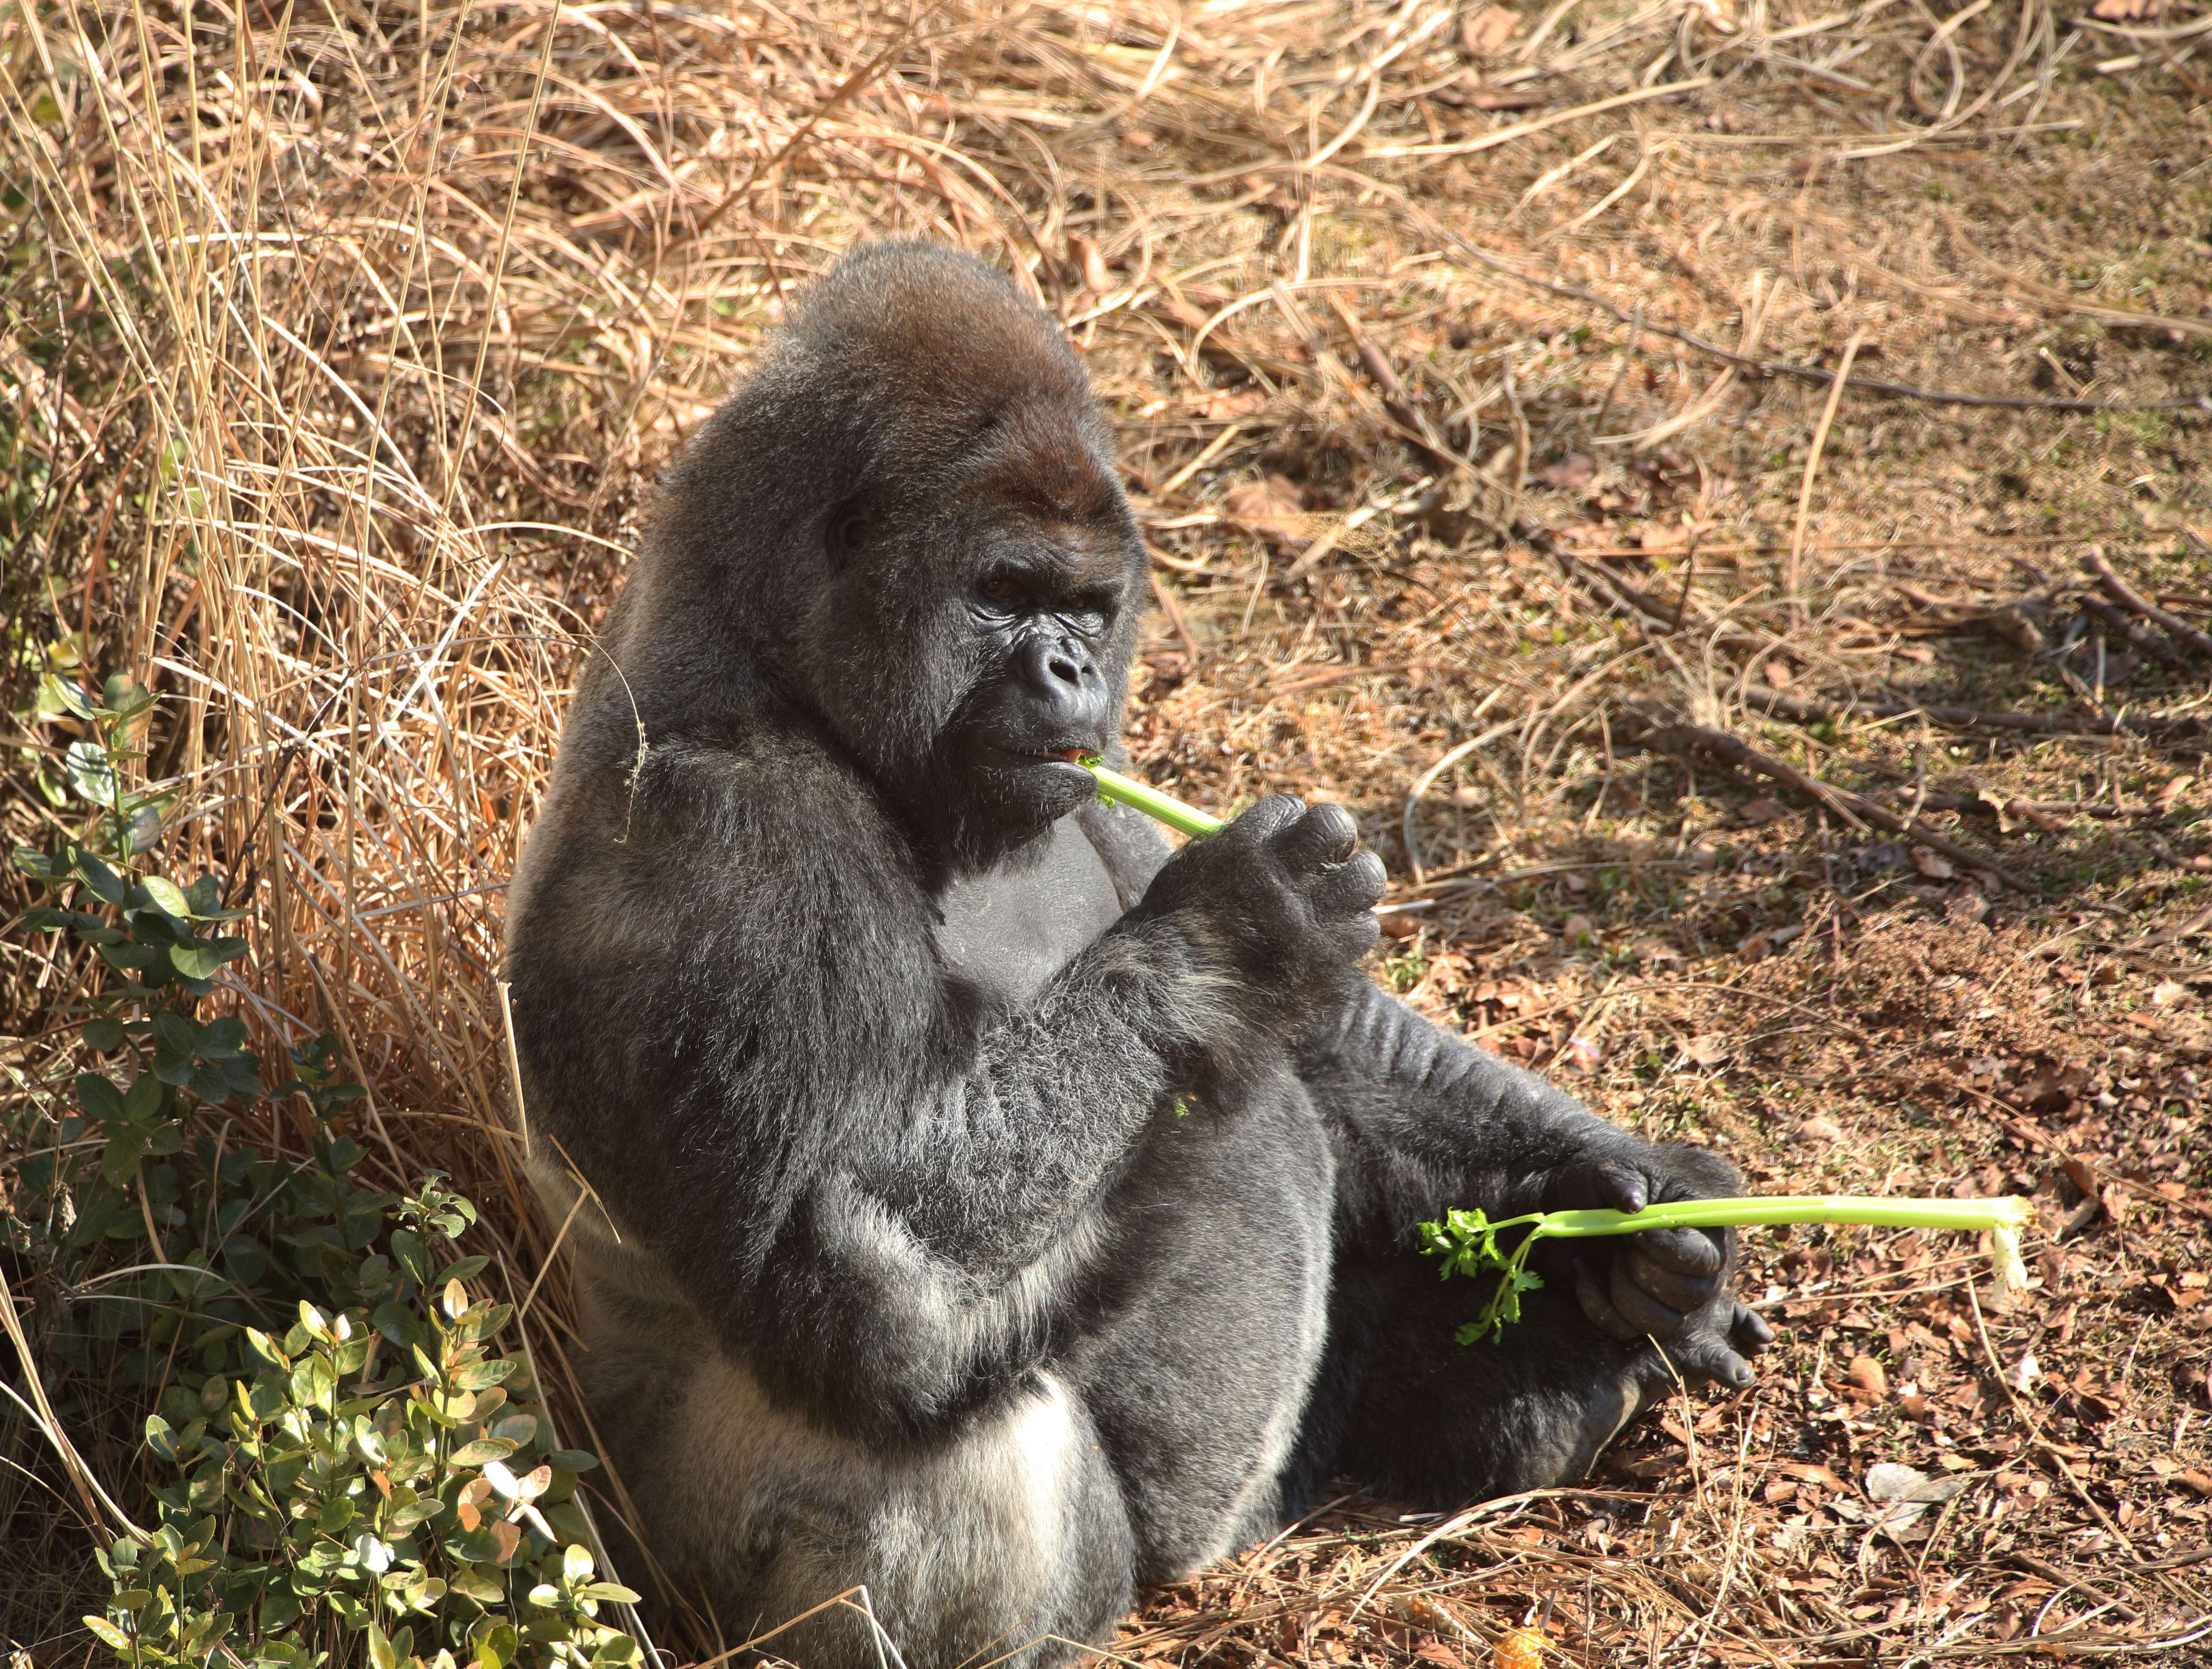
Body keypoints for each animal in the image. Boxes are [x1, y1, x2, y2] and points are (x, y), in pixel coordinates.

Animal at [502, 242, 1761, 1669]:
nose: (1067, 671)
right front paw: (1246, 919)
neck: (779, 658)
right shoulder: (728, 825)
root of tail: (1234, 1541)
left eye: (1086, 610)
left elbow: (1326, 1042)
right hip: (684, 1559)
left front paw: (1633, 1198)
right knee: (944, 1410)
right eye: (1000, 593)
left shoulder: (1103, 783)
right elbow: (845, 1251)